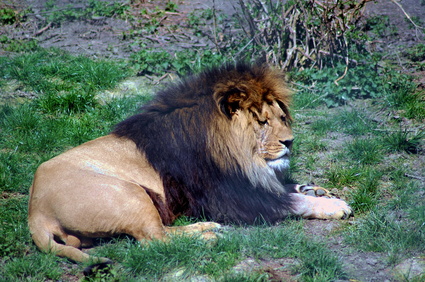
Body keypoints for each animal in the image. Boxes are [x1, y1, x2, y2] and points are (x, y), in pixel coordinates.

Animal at [27, 62, 352, 264]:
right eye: (262, 122)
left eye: (281, 117)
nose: (290, 141)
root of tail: (35, 211)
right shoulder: (229, 198)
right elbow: (291, 202)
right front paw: (332, 205)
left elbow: (285, 188)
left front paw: (313, 189)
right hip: (129, 194)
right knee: (154, 240)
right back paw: (208, 237)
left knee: (159, 232)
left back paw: (206, 228)